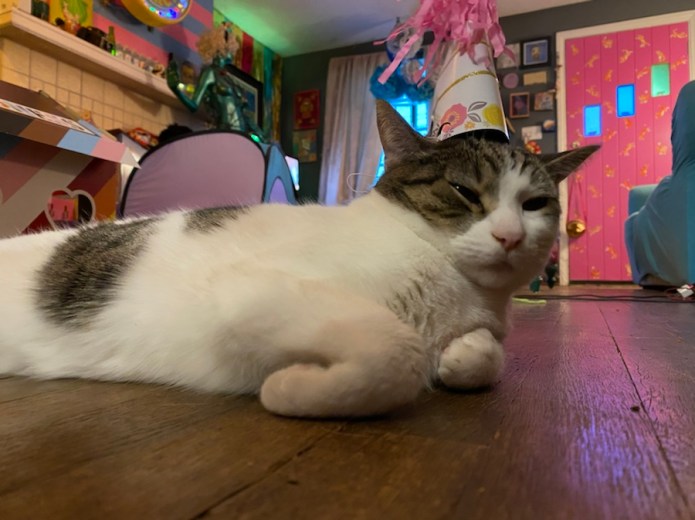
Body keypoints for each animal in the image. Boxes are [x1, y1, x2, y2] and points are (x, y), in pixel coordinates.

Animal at [0, 100, 598, 418]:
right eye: (464, 192)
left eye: (535, 204)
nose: (510, 237)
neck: (456, 289)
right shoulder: (249, 291)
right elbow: (397, 352)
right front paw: (291, 390)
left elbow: (486, 357)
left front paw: (462, 357)